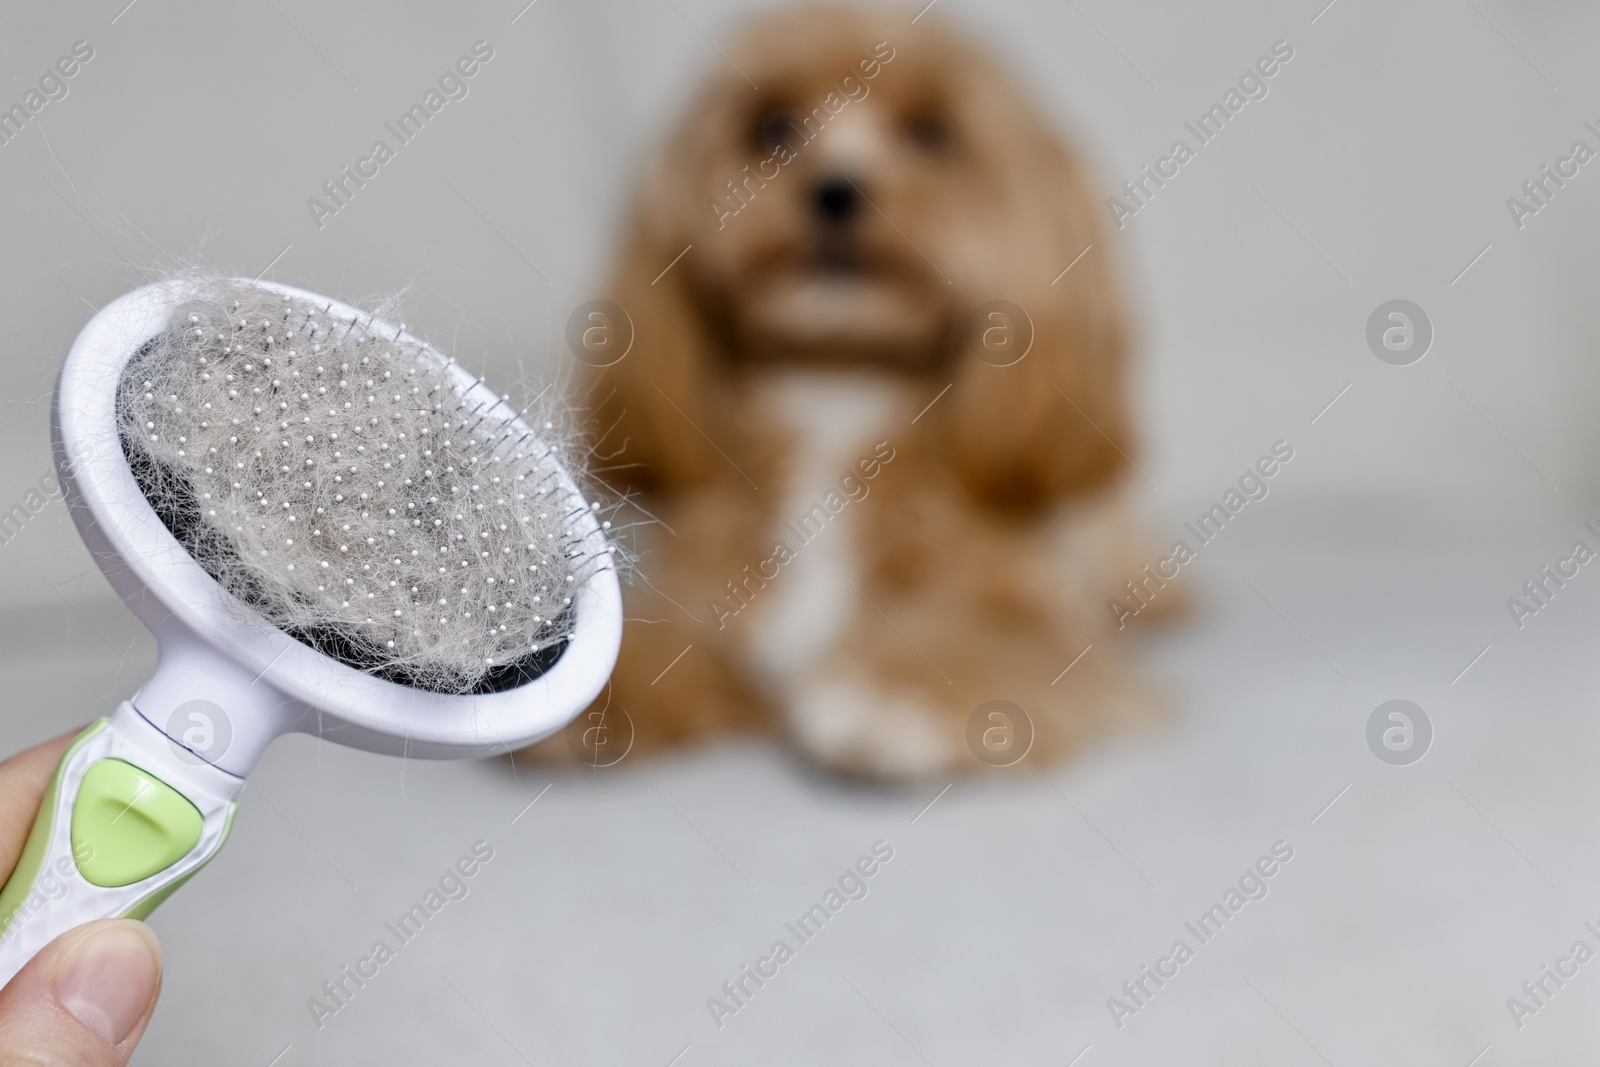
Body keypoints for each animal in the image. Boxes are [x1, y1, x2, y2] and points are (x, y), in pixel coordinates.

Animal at [556, 4, 1158, 780]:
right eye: (773, 126)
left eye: (931, 132)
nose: (835, 188)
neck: (838, 389)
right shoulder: (702, 598)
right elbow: (662, 640)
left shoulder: (1042, 619)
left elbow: (989, 640)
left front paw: (895, 695)